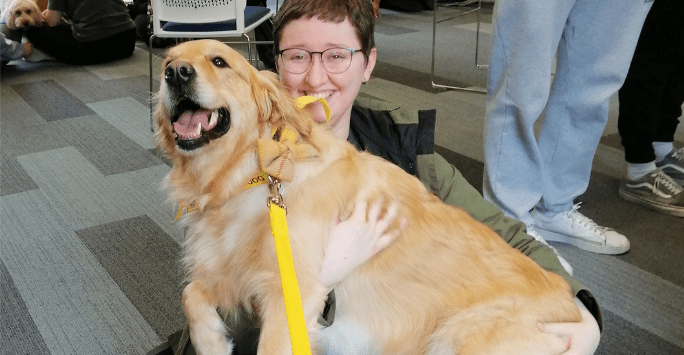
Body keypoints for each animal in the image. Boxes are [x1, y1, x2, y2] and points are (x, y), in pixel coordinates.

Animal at [155, 39, 584, 355]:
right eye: (168, 63)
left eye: (219, 61)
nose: (175, 73)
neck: (253, 171)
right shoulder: (227, 268)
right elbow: (191, 293)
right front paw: (211, 341)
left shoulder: (291, 293)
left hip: (459, 337)